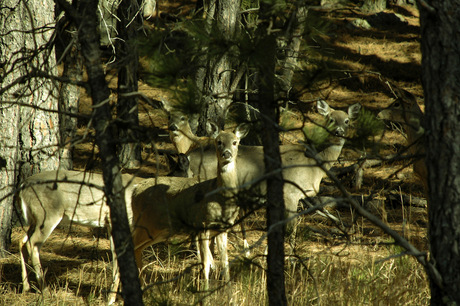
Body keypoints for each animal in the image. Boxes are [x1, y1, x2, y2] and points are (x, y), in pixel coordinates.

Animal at [129, 122, 250, 286]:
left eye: (235, 142)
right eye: (218, 141)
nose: (227, 154)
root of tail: (135, 190)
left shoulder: (222, 229)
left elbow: (224, 263)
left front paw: (227, 290)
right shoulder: (202, 225)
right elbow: (206, 264)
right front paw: (205, 288)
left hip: (159, 229)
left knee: (136, 249)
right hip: (148, 223)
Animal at [167, 100, 362, 244]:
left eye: (346, 120)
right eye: (330, 118)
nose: (338, 131)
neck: (314, 165)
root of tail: (189, 155)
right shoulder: (290, 193)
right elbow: (291, 229)